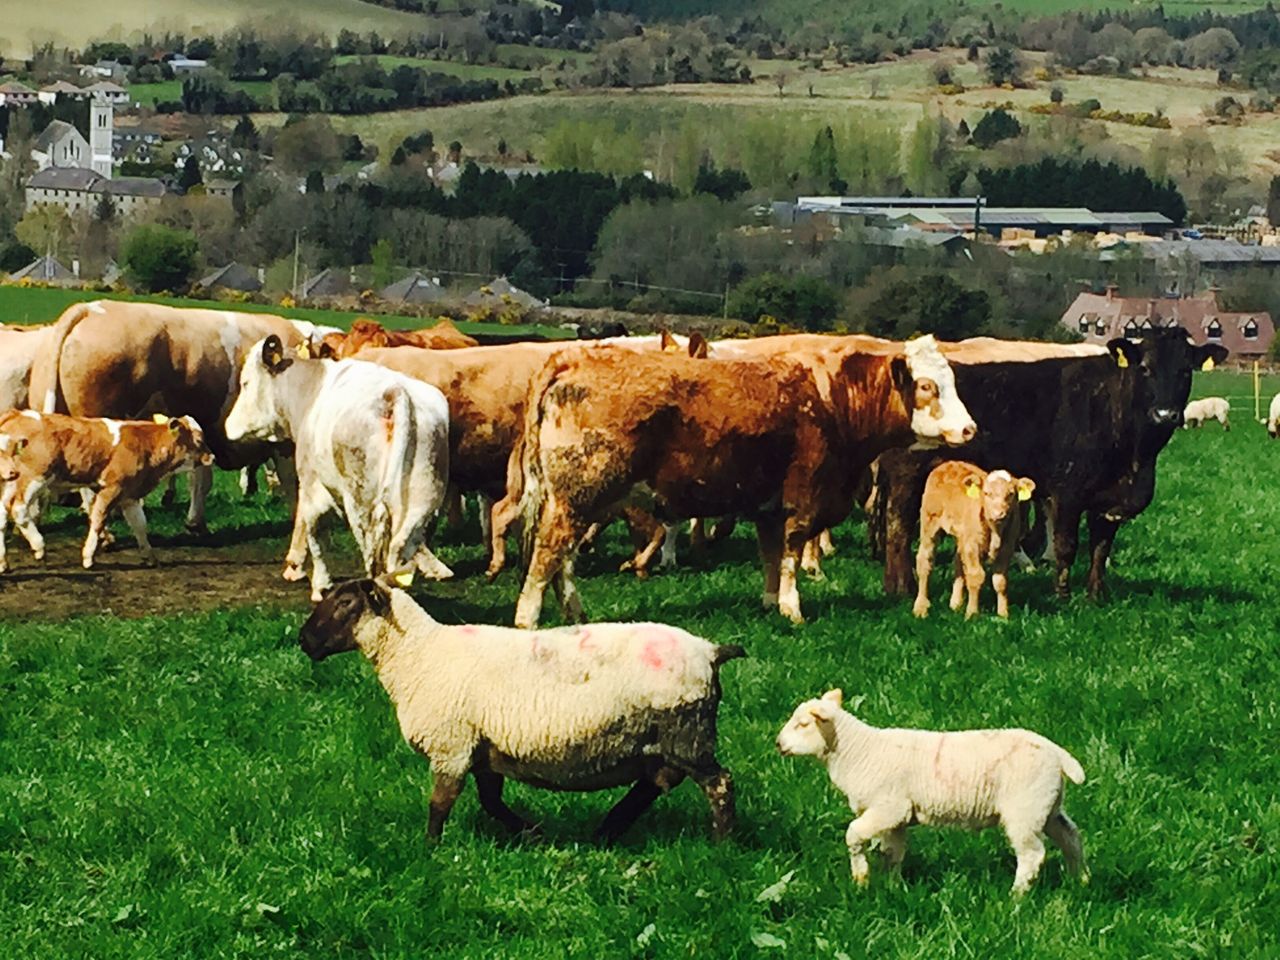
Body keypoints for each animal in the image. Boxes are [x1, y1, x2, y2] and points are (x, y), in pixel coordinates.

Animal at [298, 572, 744, 842]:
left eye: (345, 603)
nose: (304, 640)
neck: (418, 654)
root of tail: (710, 651)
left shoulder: (451, 747)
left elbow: (440, 804)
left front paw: (429, 849)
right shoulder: (483, 751)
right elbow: (491, 802)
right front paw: (532, 831)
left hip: (685, 734)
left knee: (719, 784)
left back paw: (722, 843)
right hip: (661, 742)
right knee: (654, 785)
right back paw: (607, 830)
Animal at [776, 689, 1087, 896]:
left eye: (803, 724)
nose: (778, 743)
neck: (858, 751)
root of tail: (1057, 753)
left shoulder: (888, 807)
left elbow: (853, 835)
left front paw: (861, 878)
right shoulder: (897, 817)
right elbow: (892, 853)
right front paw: (892, 887)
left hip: (1024, 809)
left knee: (1032, 855)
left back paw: (1017, 897)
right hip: (1046, 806)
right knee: (1070, 836)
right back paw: (1081, 881)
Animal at [913, 461, 1036, 620]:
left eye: (1011, 494)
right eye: (987, 493)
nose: (999, 514)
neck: (995, 531)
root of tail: (948, 463)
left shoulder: (1007, 547)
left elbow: (1001, 581)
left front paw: (1003, 615)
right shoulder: (972, 546)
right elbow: (976, 576)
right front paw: (972, 613)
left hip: (961, 536)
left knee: (958, 561)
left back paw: (956, 604)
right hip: (930, 524)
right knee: (925, 560)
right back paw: (921, 608)